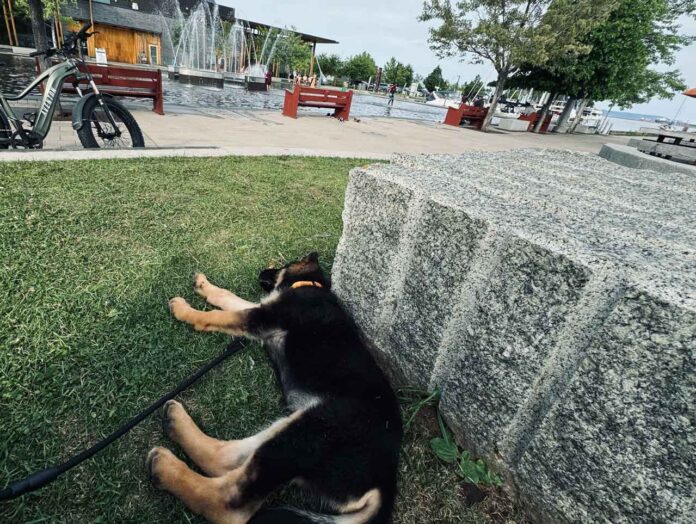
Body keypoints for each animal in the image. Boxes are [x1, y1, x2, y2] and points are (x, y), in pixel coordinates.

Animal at [147, 252, 402, 520]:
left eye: (280, 265)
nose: (261, 272)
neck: (309, 285)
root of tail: (384, 485)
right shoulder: (263, 311)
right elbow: (229, 297)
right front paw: (205, 287)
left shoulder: (263, 317)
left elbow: (218, 316)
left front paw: (185, 311)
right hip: (296, 424)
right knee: (225, 459)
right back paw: (175, 421)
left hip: (312, 431)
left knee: (227, 502)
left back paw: (164, 468)